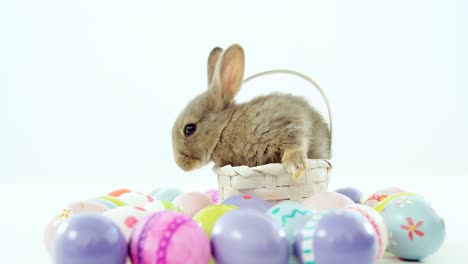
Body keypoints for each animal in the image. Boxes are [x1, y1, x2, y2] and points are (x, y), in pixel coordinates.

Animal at [171, 43, 330, 179]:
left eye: (189, 129)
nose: (181, 165)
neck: (224, 128)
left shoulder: (288, 122)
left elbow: (295, 143)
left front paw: (295, 168)